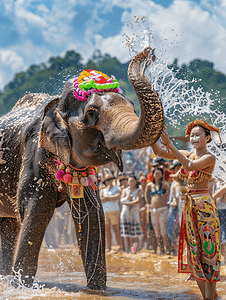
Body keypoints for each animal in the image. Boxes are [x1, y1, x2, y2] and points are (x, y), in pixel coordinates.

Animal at [0, 46, 163, 288]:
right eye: (92, 114)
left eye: (133, 106)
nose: (148, 51)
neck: (56, 104)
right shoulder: (34, 152)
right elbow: (36, 208)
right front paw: (21, 287)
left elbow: (91, 213)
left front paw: (97, 289)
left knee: (8, 224)